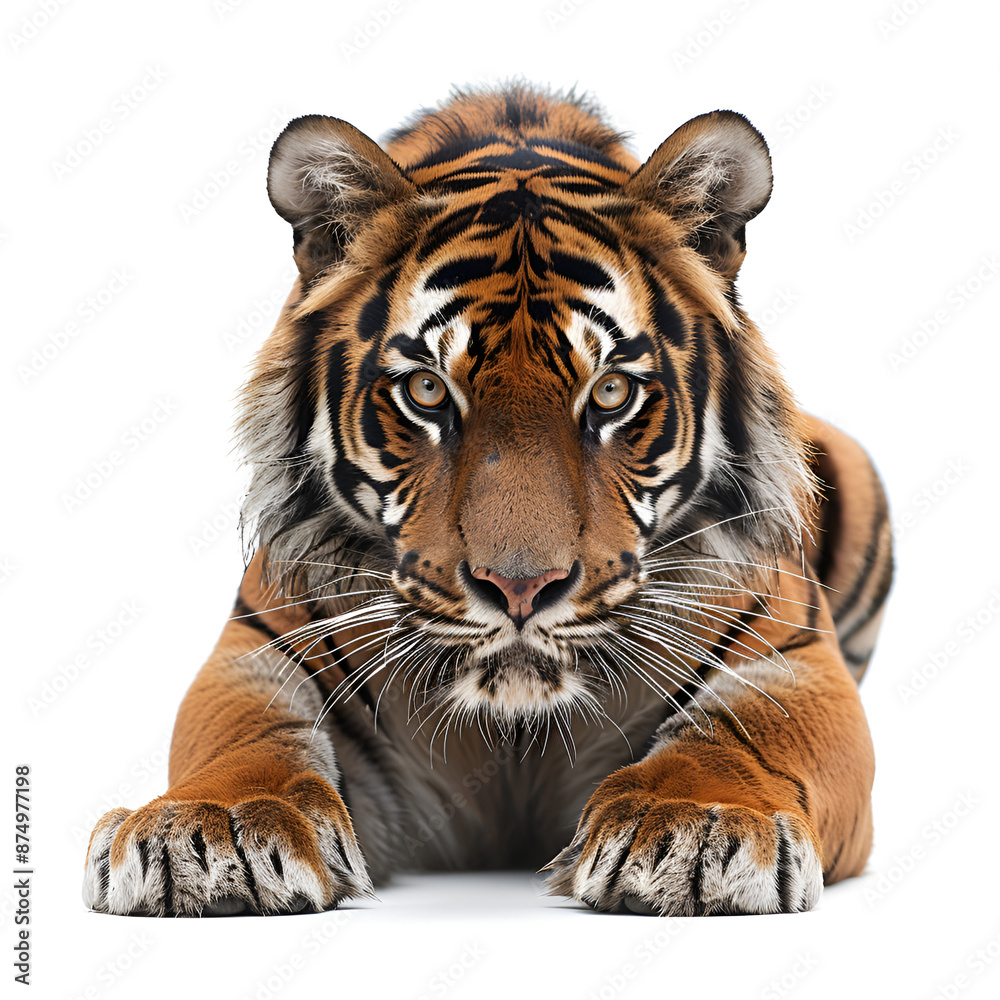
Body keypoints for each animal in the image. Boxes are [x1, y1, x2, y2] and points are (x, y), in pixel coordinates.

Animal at [83, 84, 892, 918]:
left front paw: (698, 824)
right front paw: (213, 829)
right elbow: (242, 735)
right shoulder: (258, 648)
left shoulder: (786, 661)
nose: (521, 588)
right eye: (427, 391)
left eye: (610, 393)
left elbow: (743, 735)